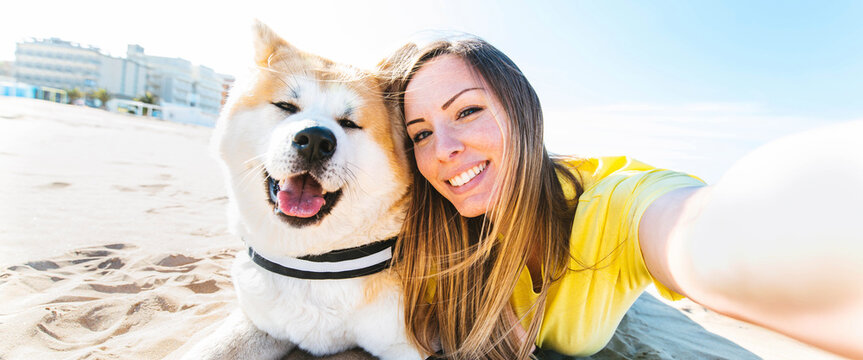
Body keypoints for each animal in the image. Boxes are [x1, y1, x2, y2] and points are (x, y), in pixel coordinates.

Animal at [181, 21, 424, 358]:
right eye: (286, 106)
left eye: (349, 123)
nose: (315, 140)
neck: (315, 263)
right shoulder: (261, 320)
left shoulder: (408, 342)